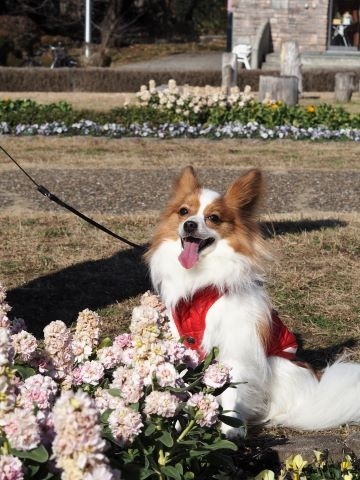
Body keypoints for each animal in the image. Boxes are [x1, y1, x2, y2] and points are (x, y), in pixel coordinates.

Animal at [146, 165, 360, 436]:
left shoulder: (236, 346)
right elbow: (180, 385)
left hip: (279, 364)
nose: (190, 225)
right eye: (184, 211)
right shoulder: (182, 344)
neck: (200, 282)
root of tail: (314, 386)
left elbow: (231, 391)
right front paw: (174, 423)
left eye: (213, 218)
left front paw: (229, 430)